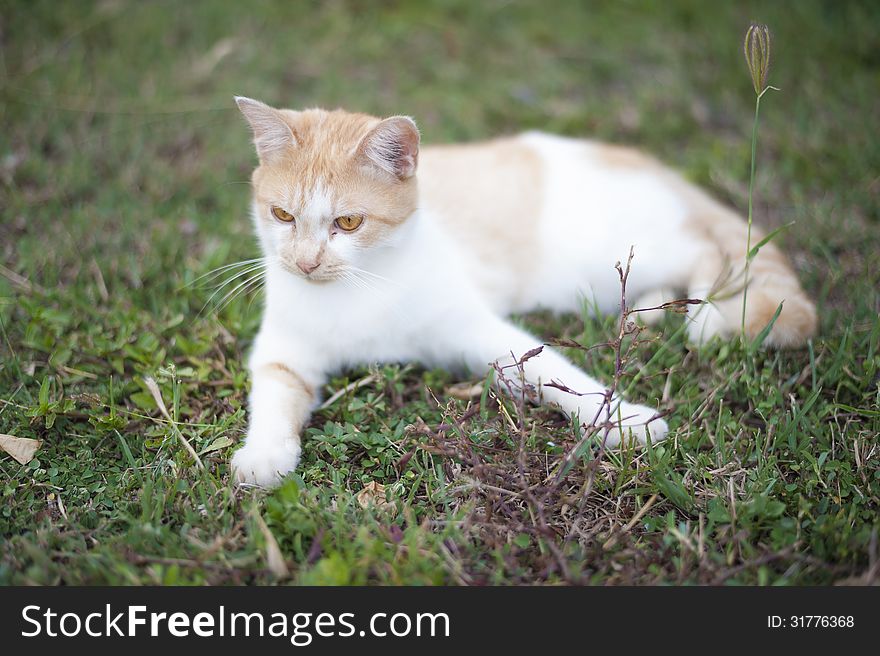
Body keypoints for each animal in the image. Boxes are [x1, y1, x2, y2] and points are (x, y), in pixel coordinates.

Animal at [229, 95, 820, 484]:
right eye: (282, 216)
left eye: (348, 223)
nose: (305, 262)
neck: (360, 286)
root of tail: (647, 164)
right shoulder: (282, 352)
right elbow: (274, 396)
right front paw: (264, 457)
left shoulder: (479, 330)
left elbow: (558, 373)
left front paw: (623, 421)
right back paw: (649, 310)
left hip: (613, 257)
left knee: (709, 251)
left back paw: (701, 314)